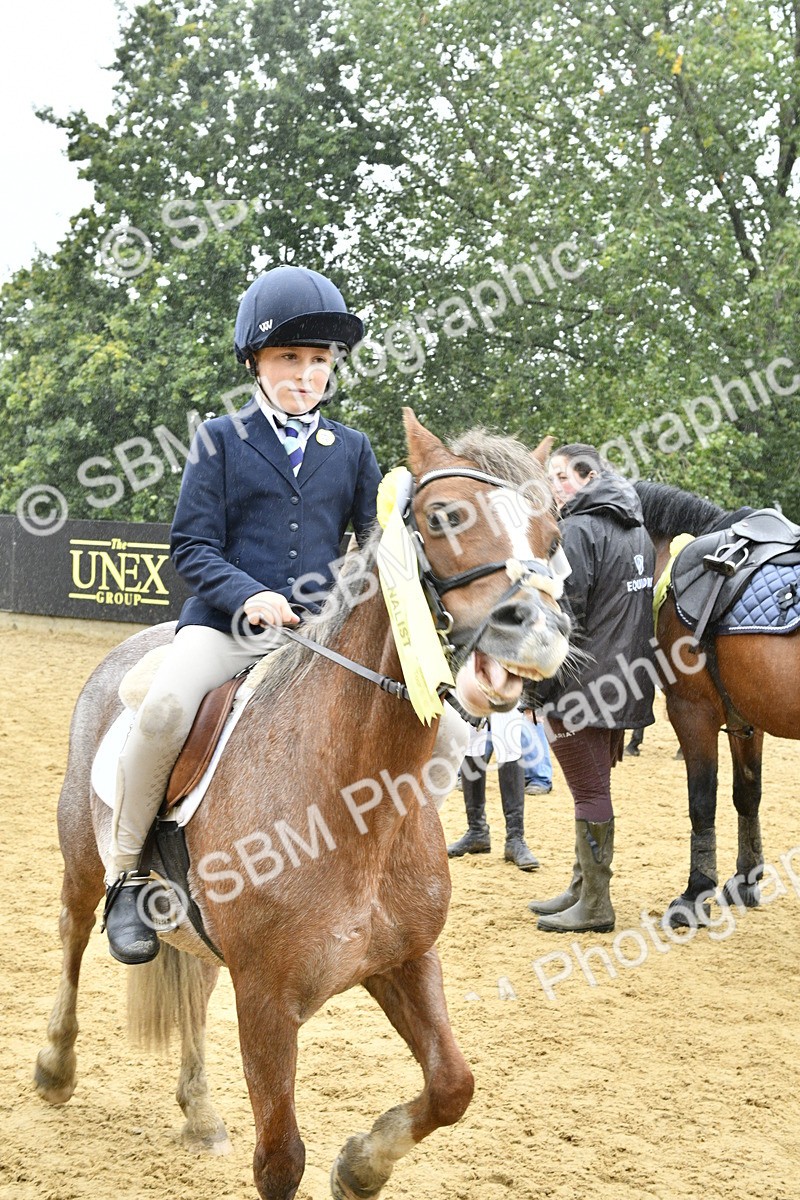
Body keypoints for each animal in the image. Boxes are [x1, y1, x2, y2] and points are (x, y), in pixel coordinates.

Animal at [35, 410, 571, 1200]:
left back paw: (200, 1112)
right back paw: (55, 1068)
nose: (534, 634)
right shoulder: (266, 1001)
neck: (354, 803)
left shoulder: (405, 960)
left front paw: (362, 1164)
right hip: (83, 859)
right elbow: (281, 1159)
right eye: (444, 517)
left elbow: (453, 1084)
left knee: (191, 987)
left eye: (552, 533)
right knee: (73, 936)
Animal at [634, 479, 800, 926]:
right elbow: (747, 794)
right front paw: (745, 880)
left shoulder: (691, 709)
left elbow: (702, 800)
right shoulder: (744, 715)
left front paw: (694, 893)